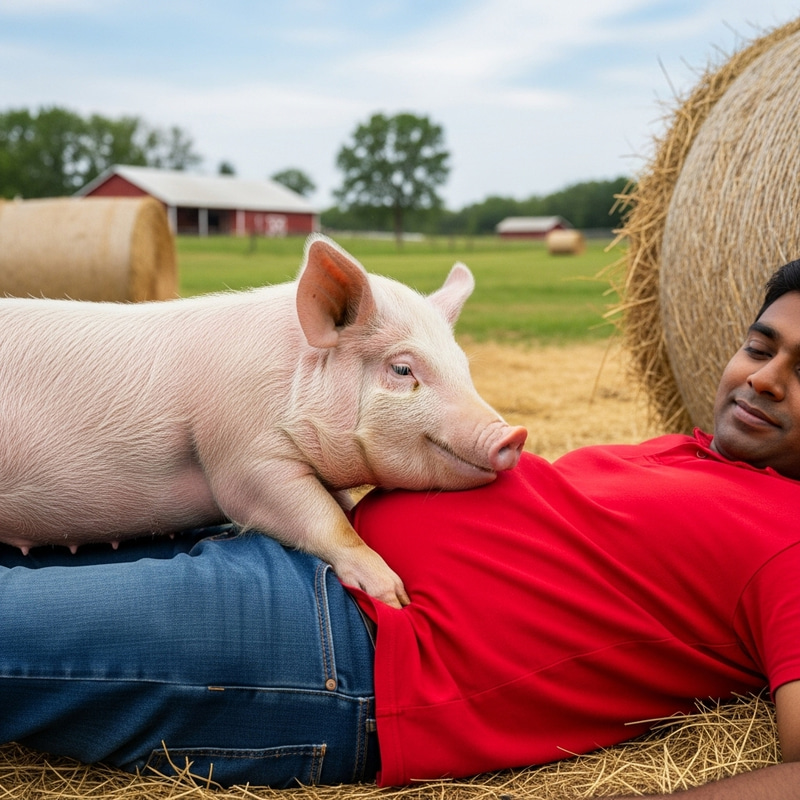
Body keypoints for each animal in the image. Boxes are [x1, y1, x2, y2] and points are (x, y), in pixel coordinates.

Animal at [0, 234, 527, 608]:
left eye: (464, 367)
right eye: (402, 369)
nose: (514, 434)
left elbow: (340, 507)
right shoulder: (243, 457)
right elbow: (323, 519)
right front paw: (393, 596)